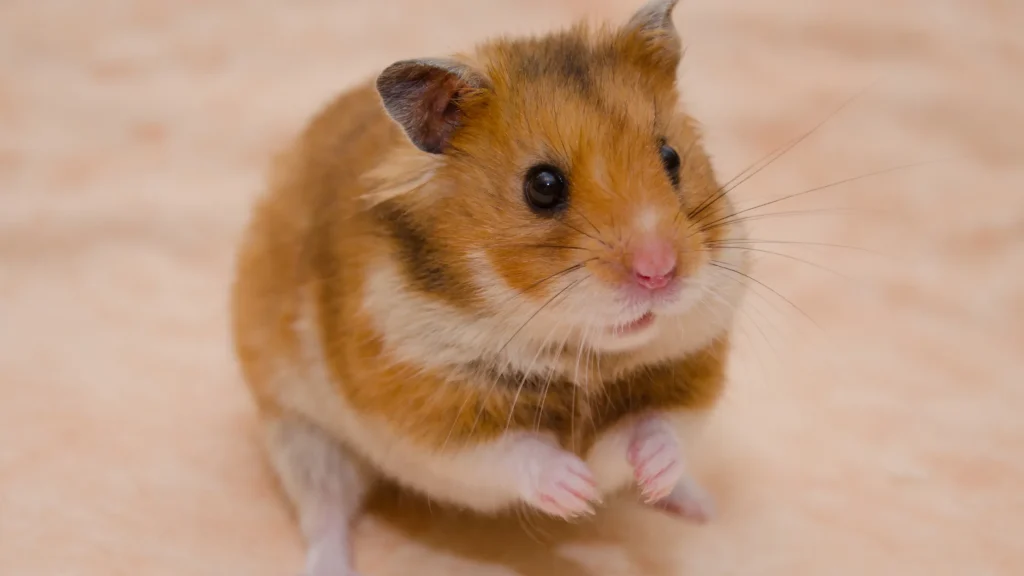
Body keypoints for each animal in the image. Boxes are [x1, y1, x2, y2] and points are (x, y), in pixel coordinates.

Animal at [230, 0, 749, 574]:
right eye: (543, 186)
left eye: (671, 158)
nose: (660, 272)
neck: (580, 354)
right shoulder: (427, 412)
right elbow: (517, 452)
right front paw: (579, 492)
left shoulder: (688, 373)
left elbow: (654, 428)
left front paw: (642, 477)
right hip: (300, 432)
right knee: (324, 511)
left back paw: (698, 506)